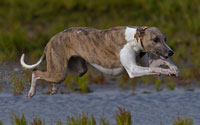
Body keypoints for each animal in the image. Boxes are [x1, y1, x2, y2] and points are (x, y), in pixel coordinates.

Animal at [20, 26, 178, 97]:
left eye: (165, 39)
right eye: (155, 39)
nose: (171, 52)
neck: (134, 38)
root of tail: (50, 41)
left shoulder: (145, 61)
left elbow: (157, 63)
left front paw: (172, 68)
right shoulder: (133, 70)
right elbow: (153, 69)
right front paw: (165, 71)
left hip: (75, 70)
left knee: (50, 76)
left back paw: (53, 88)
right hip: (59, 71)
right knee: (35, 72)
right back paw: (31, 92)